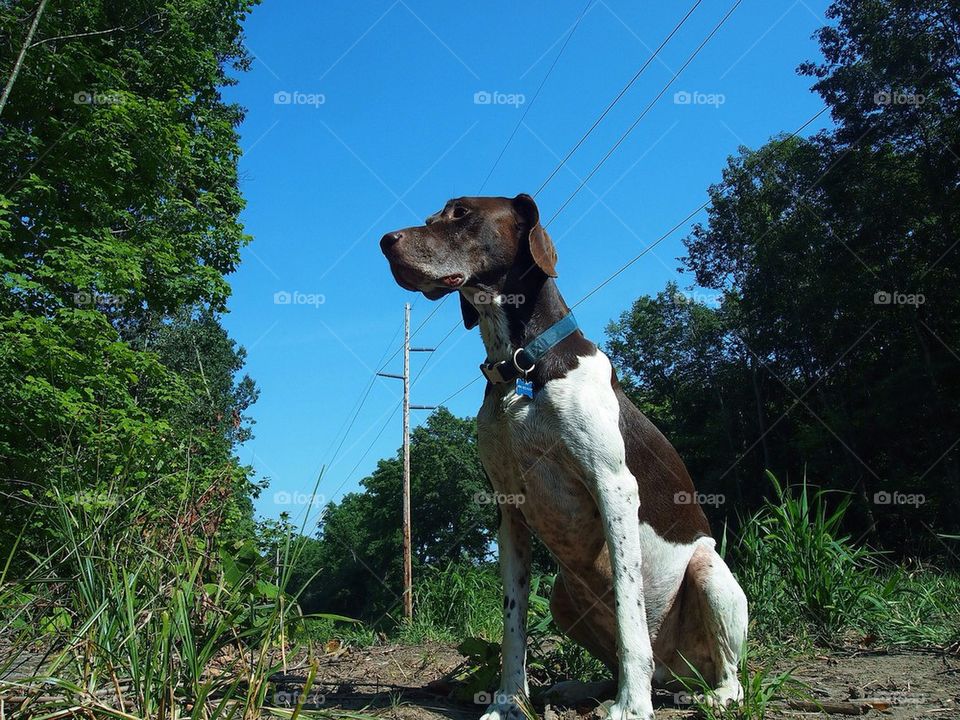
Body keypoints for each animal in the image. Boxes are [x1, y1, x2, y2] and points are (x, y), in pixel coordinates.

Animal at [378, 194, 748, 720]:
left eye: (461, 213)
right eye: (432, 218)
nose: (385, 242)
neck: (519, 368)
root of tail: (676, 673)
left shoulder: (614, 488)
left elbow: (630, 615)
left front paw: (631, 708)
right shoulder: (509, 510)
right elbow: (512, 627)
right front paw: (509, 703)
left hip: (711, 575)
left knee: (723, 671)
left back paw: (709, 695)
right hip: (560, 597)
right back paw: (581, 688)